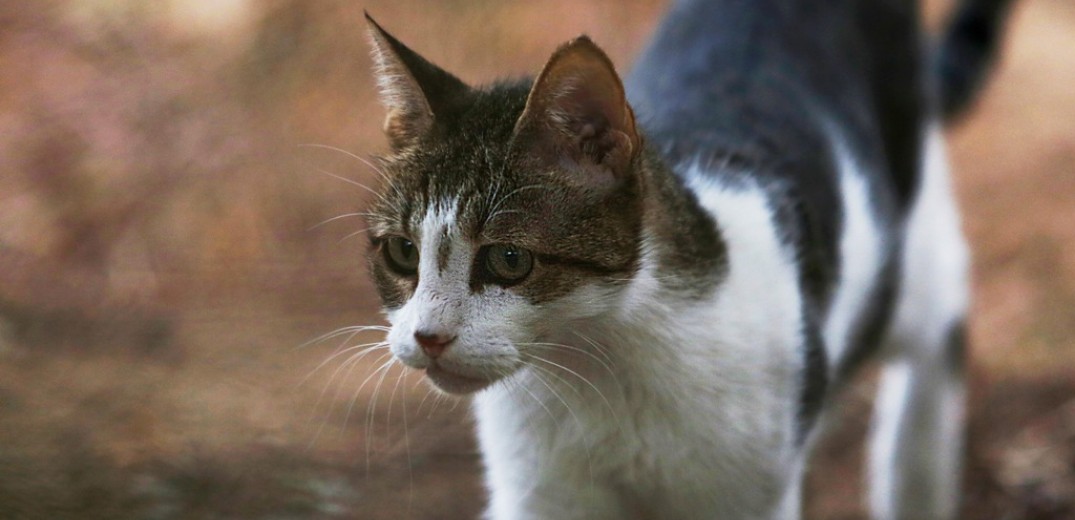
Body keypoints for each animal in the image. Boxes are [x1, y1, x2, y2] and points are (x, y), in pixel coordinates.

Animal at [356, 0, 1010, 517]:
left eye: (509, 259)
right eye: (403, 252)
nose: (428, 337)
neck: (604, 364)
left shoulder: (750, 494)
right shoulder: (540, 494)